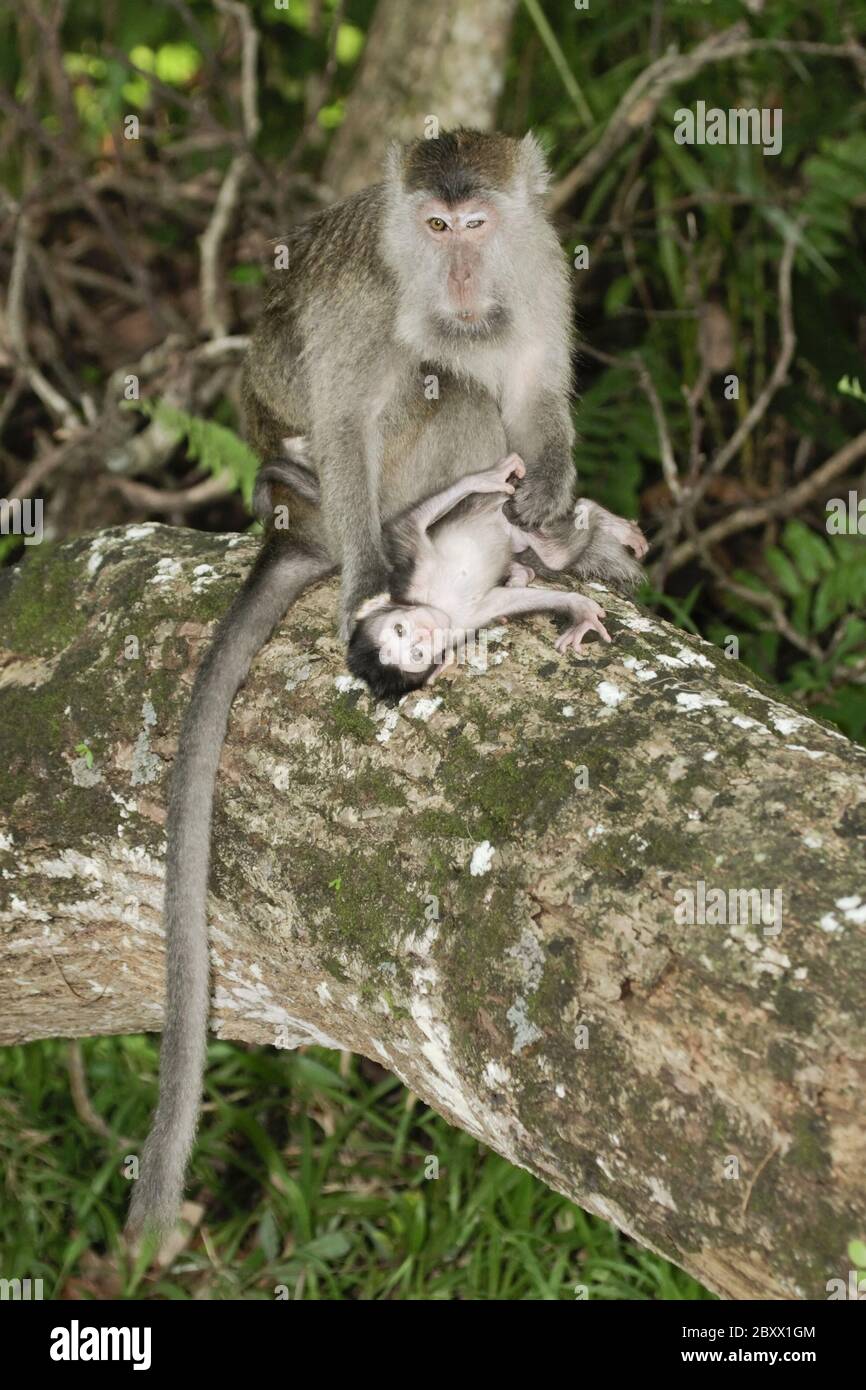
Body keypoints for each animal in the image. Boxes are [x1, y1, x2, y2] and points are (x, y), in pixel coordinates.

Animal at [261, 450, 647, 700]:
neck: (443, 609)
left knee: (544, 535)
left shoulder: (418, 573)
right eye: (415, 654)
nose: (423, 632)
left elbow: (405, 525)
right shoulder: (471, 618)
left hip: (499, 509)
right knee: (554, 554)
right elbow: (515, 601)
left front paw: (485, 476)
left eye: (400, 629)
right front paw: (579, 610)